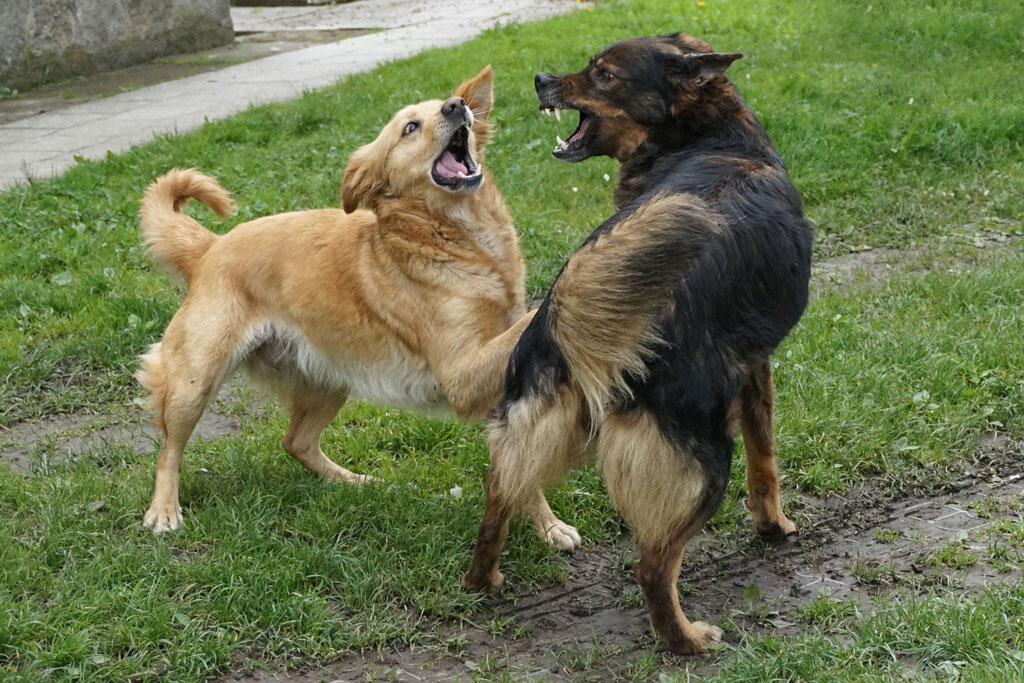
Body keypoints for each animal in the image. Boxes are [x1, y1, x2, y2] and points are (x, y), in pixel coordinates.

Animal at [137, 66, 581, 552]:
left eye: (446, 104)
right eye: (410, 127)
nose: (456, 106)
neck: (459, 240)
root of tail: (211, 247)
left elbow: (518, 464)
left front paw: (547, 525)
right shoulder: (461, 374)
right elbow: (532, 318)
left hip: (328, 379)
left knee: (296, 441)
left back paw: (351, 481)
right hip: (195, 381)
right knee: (169, 450)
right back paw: (164, 509)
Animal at [462, 34, 806, 655]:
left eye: (603, 74)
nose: (541, 78)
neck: (710, 139)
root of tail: (567, 326)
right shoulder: (756, 368)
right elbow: (766, 461)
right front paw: (774, 529)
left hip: (522, 435)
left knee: (494, 510)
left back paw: (485, 580)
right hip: (703, 462)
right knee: (653, 567)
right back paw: (687, 639)